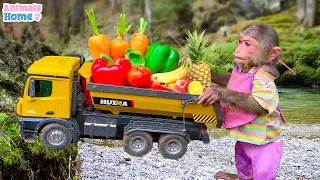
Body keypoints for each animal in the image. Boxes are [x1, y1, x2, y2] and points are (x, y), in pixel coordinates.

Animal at [199, 22, 296, 180]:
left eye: (248, 44)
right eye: (240, 41)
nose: (239, 49)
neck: (251, 67)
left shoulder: (263, 77)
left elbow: (257, 104)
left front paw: (218, 92)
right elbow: (228, 77)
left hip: (267, 151)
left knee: (263, 169)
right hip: (243, 150)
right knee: (242, 158)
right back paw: (237, 176)